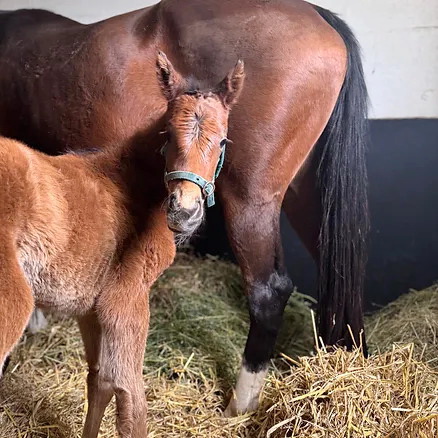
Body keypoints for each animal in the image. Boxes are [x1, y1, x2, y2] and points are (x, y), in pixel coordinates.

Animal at [0, 53, 245, 436]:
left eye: (222, 142)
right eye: (168, 135)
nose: (185, 210)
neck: (132, 182)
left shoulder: (91, 308)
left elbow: (99, 379)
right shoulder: (126, 297)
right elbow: (131, 396)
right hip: (11, 302)